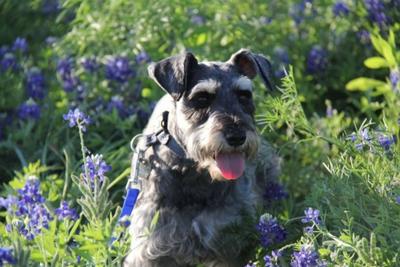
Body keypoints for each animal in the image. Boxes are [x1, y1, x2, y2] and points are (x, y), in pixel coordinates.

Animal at [123, 49, 280, 266]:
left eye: (244, 95)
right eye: (201, 98)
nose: (237, 137)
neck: (192, 172)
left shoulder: (228, 240)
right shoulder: (149, 248)